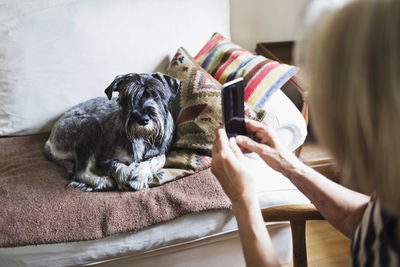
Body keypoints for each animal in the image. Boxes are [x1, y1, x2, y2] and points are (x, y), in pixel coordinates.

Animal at [44, 72, 180, 192]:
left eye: (156, 95)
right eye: (127, 97)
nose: (142, 119)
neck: (142, 136)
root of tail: (49, 141)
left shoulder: (160, 152)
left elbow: (156, 160)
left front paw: (139, 177)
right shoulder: (104, 159)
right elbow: (117, 166)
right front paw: (126, 176)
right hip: (90, 126)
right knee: (80, 173)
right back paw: (104, 182)